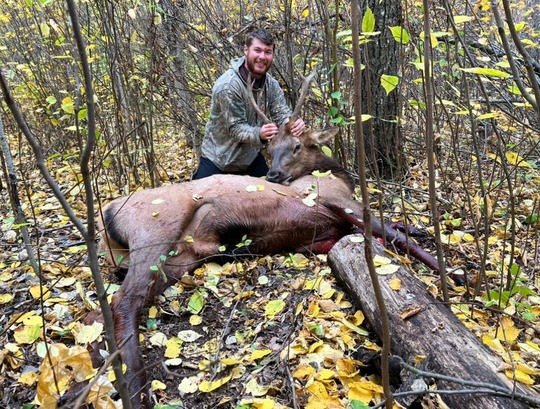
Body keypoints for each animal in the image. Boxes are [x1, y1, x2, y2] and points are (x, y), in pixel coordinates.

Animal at [97, 69, 438, 404]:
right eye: (270, 150)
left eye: (297, 146)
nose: (273, 175)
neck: (336, 175)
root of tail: (107, 218)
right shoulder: (333, 200)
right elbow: (395, 235)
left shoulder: (320, 234)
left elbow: (392, 229)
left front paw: (419, 230)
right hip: (155, 227)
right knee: (122, 299)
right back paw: (137, 389)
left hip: (179, 259)